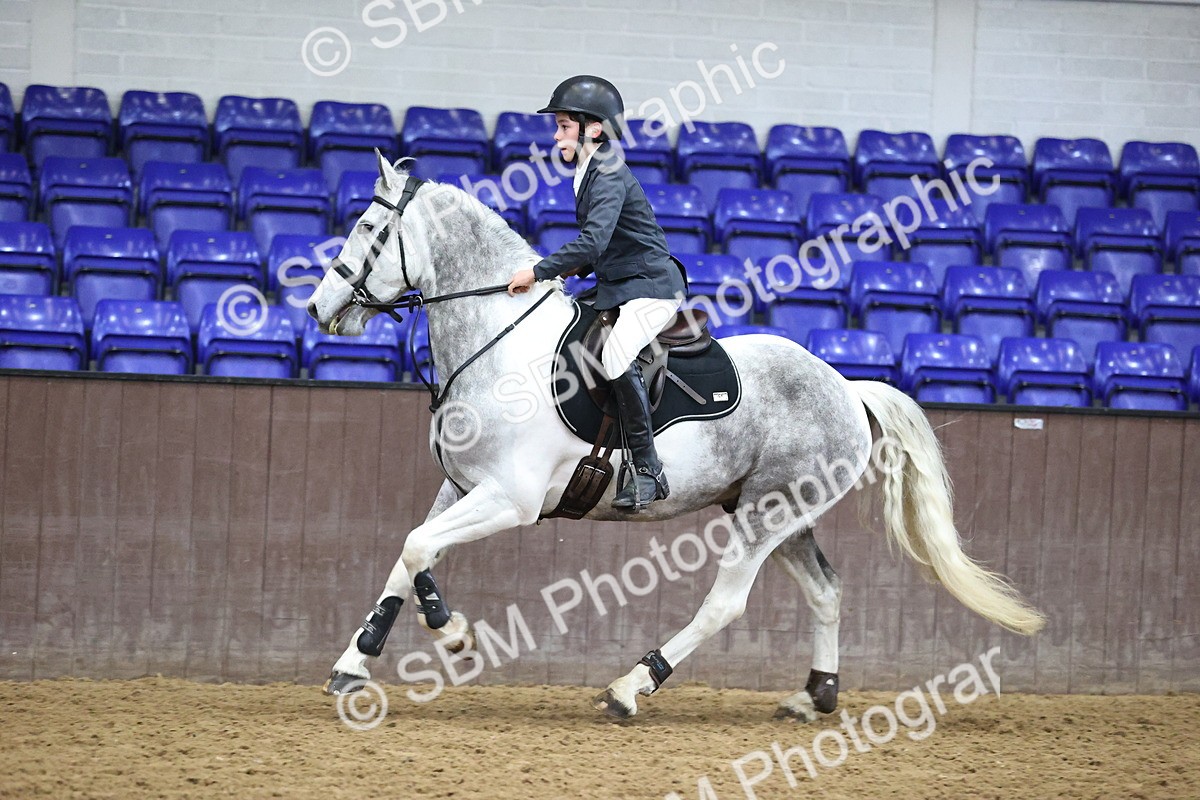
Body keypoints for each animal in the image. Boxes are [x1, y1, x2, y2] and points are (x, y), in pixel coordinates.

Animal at [307, 153, 1045, 720]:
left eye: (369, 227)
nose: (317, 308)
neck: (499, 340)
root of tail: (846, 385)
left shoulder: (510, 499)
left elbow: (416, 547)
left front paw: (450, 632)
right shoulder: (461, 485)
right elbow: (410, 554)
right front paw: (359, 661)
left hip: (766, 513)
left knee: (726, 604)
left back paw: (631, 686)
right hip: (781, 510)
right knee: (826, 591)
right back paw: (814, 696)